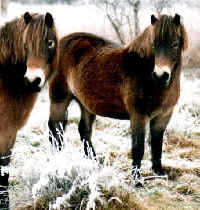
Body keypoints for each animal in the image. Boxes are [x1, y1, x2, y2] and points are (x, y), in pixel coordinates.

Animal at [48, 13, 188, 187]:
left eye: (175, 44)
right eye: (154, 45)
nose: (161, 75)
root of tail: (62, 41)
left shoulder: (163, 116)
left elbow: (157, 144)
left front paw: (159, 172)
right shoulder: (138, 115)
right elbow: (138, 148)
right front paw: (137, 181)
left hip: (86, 104)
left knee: (84, 131)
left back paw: (94, 162)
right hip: (59, 99)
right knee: (55, 130)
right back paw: (58, 161)